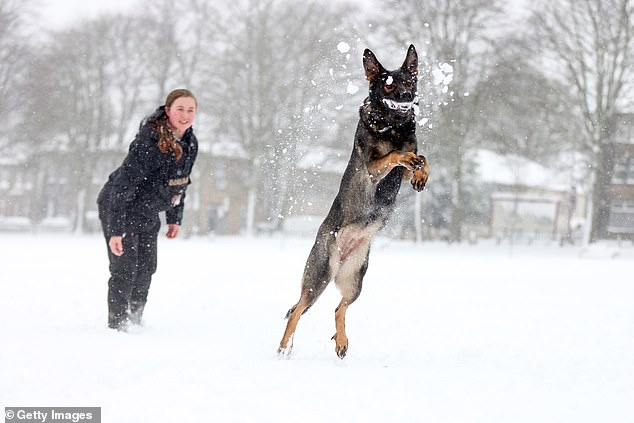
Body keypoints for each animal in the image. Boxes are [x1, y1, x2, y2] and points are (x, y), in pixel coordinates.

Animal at [278, 44, 430, 360]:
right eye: (389, 84)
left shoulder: (406, 165)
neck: (393, 126)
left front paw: (422, 174)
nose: (407, 96)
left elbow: (422, 157)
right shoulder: (373, 168)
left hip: (356, 280)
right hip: (320, 275)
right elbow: (395, 155)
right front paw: (405, 157)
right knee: (297, 310)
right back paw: (284, 346)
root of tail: (341, 259)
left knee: (339, 308)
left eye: (409, 81)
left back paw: (341, 341)